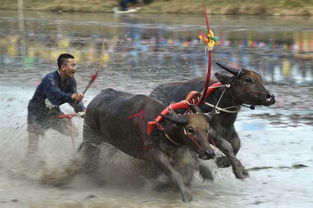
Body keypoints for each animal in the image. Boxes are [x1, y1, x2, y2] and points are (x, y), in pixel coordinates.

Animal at [78, 88, 214, 202]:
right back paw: (97, 180)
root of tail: (93, 103)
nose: (209, 153)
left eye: (207, 129)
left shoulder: (174, 151)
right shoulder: (154, 155)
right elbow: (174, 174)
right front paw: (186, 194)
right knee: (89, 161)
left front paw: (206, 172)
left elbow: (193, 162)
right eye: (190, 129)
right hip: (91, 139)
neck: (160, 127)